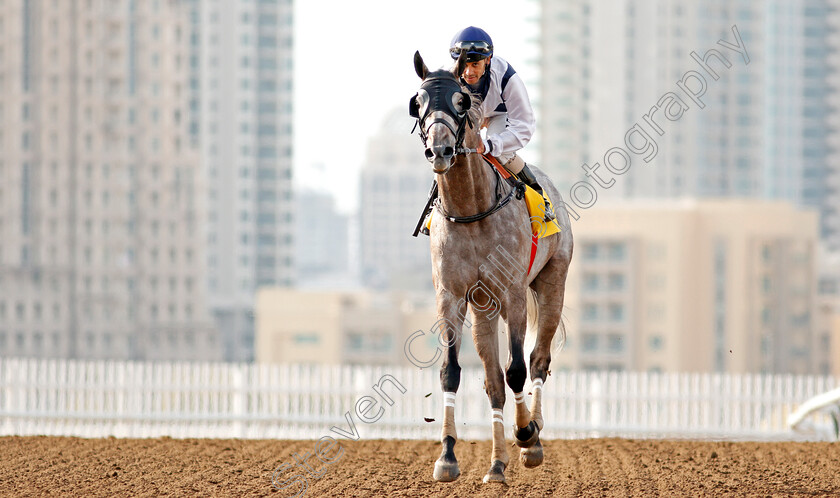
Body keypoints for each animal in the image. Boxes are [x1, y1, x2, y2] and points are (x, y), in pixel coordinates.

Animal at [410, 52, 576, 484]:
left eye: (461, 101)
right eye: (418, 103)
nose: (440, 150)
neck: (471, 210)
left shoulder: (513, 293)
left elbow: (517, 369)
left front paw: (527, 435)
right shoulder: (451, 296)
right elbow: (453, 372)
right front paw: (447, 457)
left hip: (553, 284)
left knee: (537, 360)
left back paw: (532, 435)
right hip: (483, 309)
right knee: (493, 383)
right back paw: (497, 465)